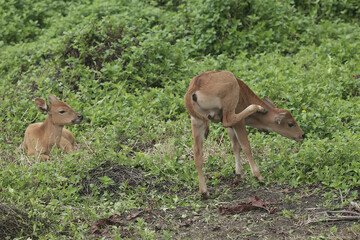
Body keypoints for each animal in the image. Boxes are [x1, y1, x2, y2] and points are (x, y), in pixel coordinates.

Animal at [184, 71, 306, 199]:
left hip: (196, 121)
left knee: (197, 152)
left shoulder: (231, 128)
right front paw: (258, 176)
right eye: (290, 123)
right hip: (228, 105)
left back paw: (204, 192)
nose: (302, 135)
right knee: (228, 120)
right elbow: (246, 146)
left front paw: (239, 173)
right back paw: (259, 108)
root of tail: (195, 85)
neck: (244, 95)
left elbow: (235, 146)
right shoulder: (239, 124)